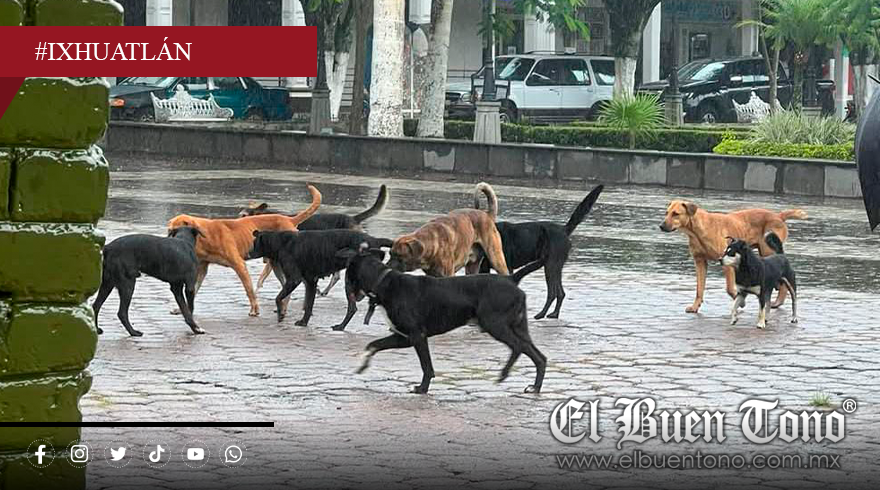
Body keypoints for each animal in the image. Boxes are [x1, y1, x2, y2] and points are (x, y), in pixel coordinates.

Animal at [166, 184, 321, 317]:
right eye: (169, 231)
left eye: (175, 231)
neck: (205, 236)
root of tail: (289, 220)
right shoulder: (202, 268)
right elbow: (195, 288)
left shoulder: (239, 265)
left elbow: (249, 290)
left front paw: (254, 310)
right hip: (275, 264)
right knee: (286, 287)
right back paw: (283, 309)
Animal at [246, 229, 392, 328]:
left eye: (254, 243)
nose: (247, 254)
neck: (280, 242)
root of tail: (375, 239)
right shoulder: (310, 281)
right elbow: (309, 304)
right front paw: (304, 322)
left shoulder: (294, 279)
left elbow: (278, 298)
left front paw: (281, 315)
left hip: (350, 281)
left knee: (352, 308)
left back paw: (340, 326)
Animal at [340, 244, 547, 395]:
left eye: (348, 276)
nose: (348, 292)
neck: (383, 281)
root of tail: (511, 279)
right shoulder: (403, 337)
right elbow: (373, 345)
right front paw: (363, 364)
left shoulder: (417, 336)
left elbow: (426, 366)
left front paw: (422, 389)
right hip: (518, 326)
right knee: (538, 356)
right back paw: (535, 387)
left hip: (495, 325)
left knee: (518, 347)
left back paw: (504, 374)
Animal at [472, 185, 603, 320]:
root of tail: (564, 230)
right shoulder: (483, 268)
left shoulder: (507, 267)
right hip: (553, 266)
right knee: (560, 293)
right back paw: (554, 314)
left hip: (551, 266)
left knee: (553, 293)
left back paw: (542, 314)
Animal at [659, 200, 806, 313]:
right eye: (666, 213)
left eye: (676, 214)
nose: (661, 226)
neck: (697, 231)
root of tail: (778, 215)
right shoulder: (700, 262)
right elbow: (699, 289)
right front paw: (695, 306)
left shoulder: (727, 264)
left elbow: (730, 288)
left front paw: (740, 301)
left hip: (768, 251)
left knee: (783, 282)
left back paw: (778, 301)